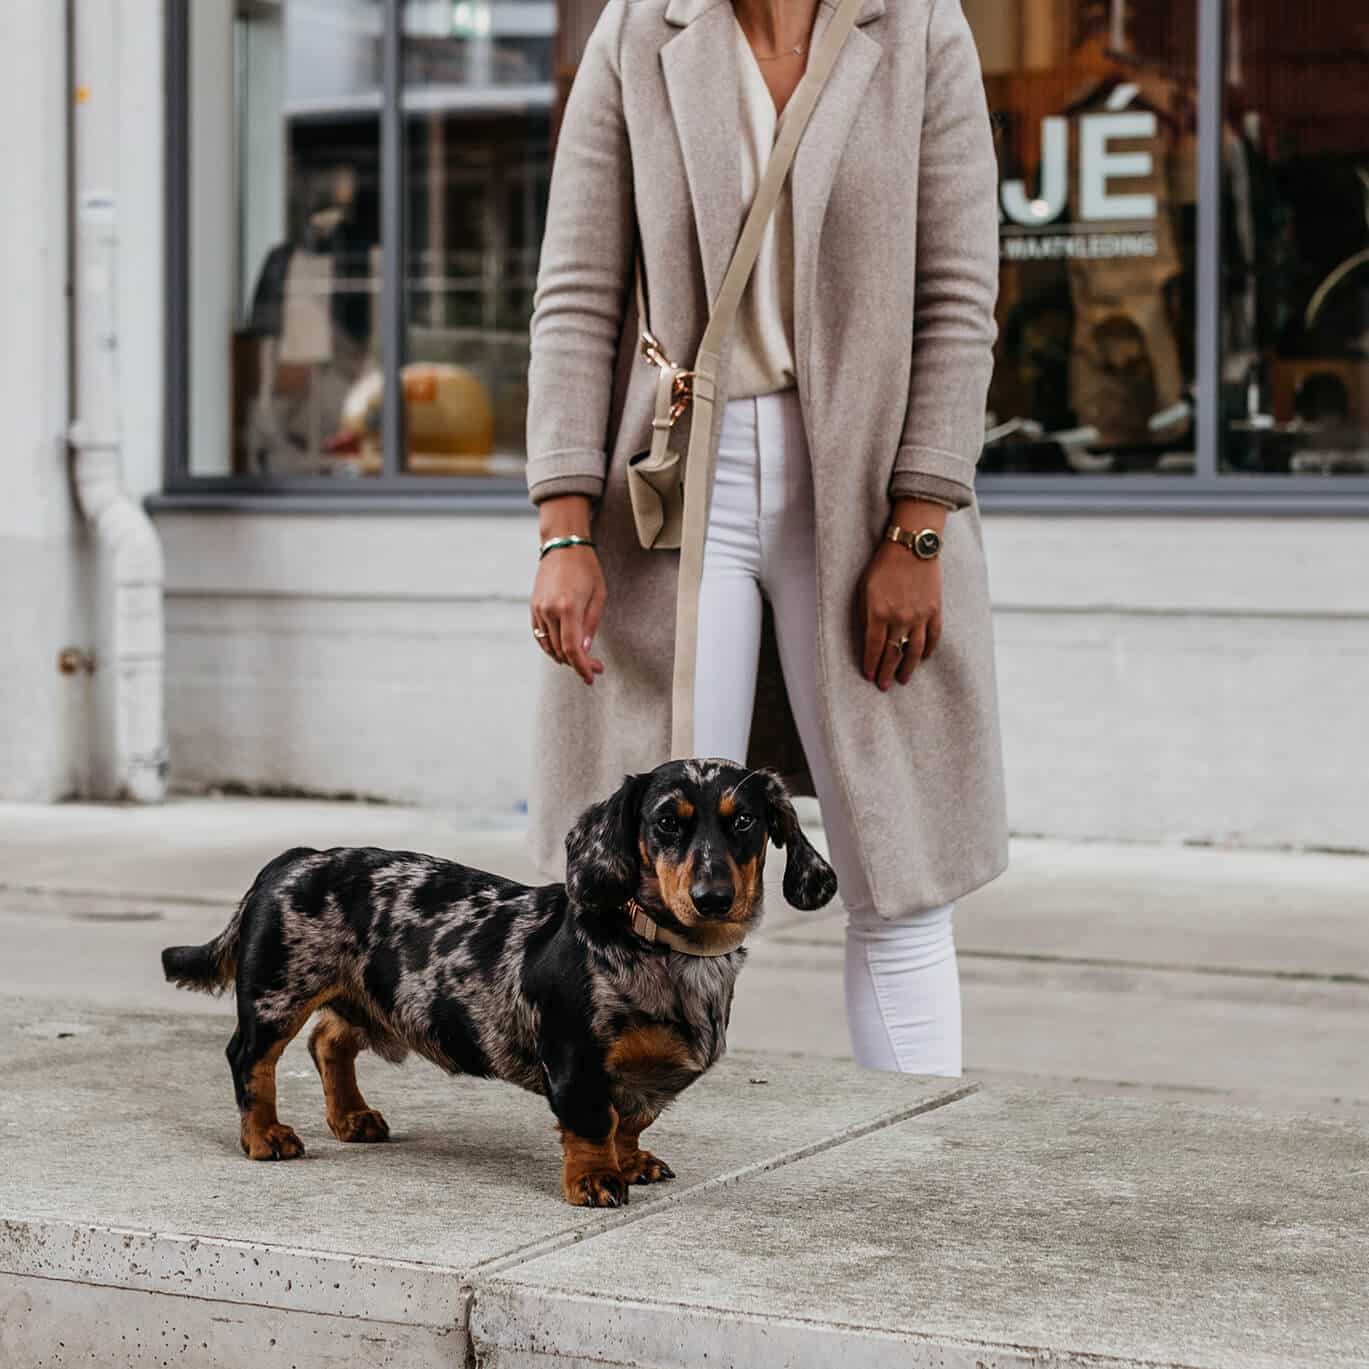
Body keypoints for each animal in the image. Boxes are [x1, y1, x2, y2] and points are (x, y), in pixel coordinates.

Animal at [160, 766, 832, 1204]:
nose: (712, 897)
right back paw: (264, 1136)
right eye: (667, 822)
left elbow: (632, 1121)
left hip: (366, 994)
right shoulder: (576, 1062)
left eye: (744, 822)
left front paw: (633, 1160)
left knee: (328, 1042)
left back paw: (352, 1118)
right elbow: (596, 1123)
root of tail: (295, 856)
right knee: (250, 1059)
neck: (665, 952)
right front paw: (597, 1179)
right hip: (278, 993)